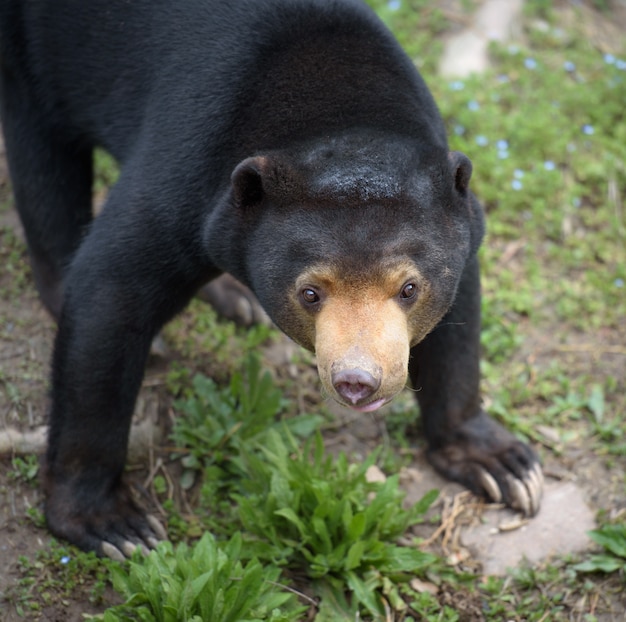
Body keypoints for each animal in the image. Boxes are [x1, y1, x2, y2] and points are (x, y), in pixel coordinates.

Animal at [0, 0, 540, 560]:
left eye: (409, 289)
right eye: (310, 292)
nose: (357, 382)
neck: (335, 107)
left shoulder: (461, 223)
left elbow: (459, 319)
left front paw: (503, 465)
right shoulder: (189, 167)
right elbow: (111, 290)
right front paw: (114, 526)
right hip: (32, 53)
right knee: (44, 160)